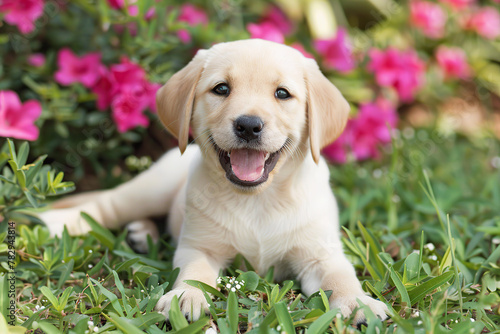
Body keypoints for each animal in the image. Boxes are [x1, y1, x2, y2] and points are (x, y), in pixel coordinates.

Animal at [40, 37, 390, 324]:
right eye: (221, 88)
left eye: (282, 94)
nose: (248, 125)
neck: (259, 199)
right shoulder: (200, 246)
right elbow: (194, 271)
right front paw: (187, 296)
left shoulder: (321, 253)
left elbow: (340, 276)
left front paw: (359, 303)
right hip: (152, 186)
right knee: (106, 205)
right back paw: (56, 222)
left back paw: (141, 233)